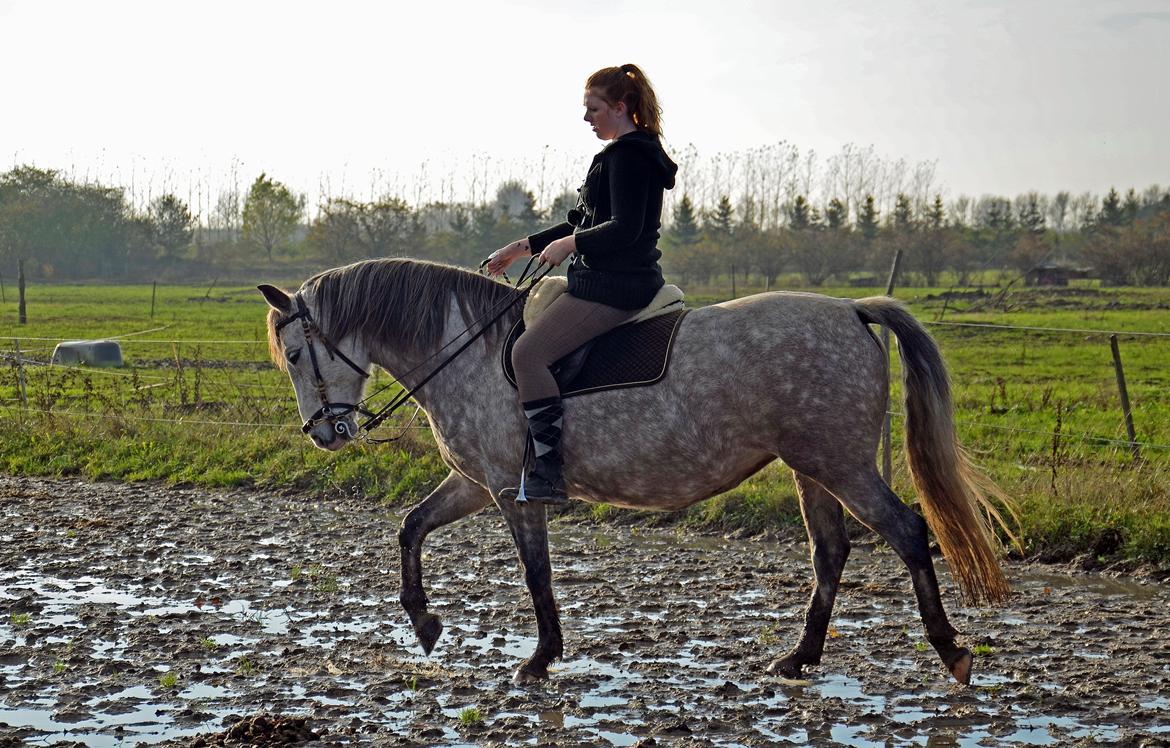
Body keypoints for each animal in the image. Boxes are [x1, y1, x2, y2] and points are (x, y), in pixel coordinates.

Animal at [260, 259, 1010, 688]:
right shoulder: (477, 483)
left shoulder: (511, 490)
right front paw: (423, 624)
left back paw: (950, 651)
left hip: (841, 464)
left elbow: (535, 571)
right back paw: (799, 657)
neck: (464, 349)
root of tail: (853, 309)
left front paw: (540, 657)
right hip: (812, 468)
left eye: (295, 353)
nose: (323, 434)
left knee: (908, 533)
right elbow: (411, 528)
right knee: (830, 553)